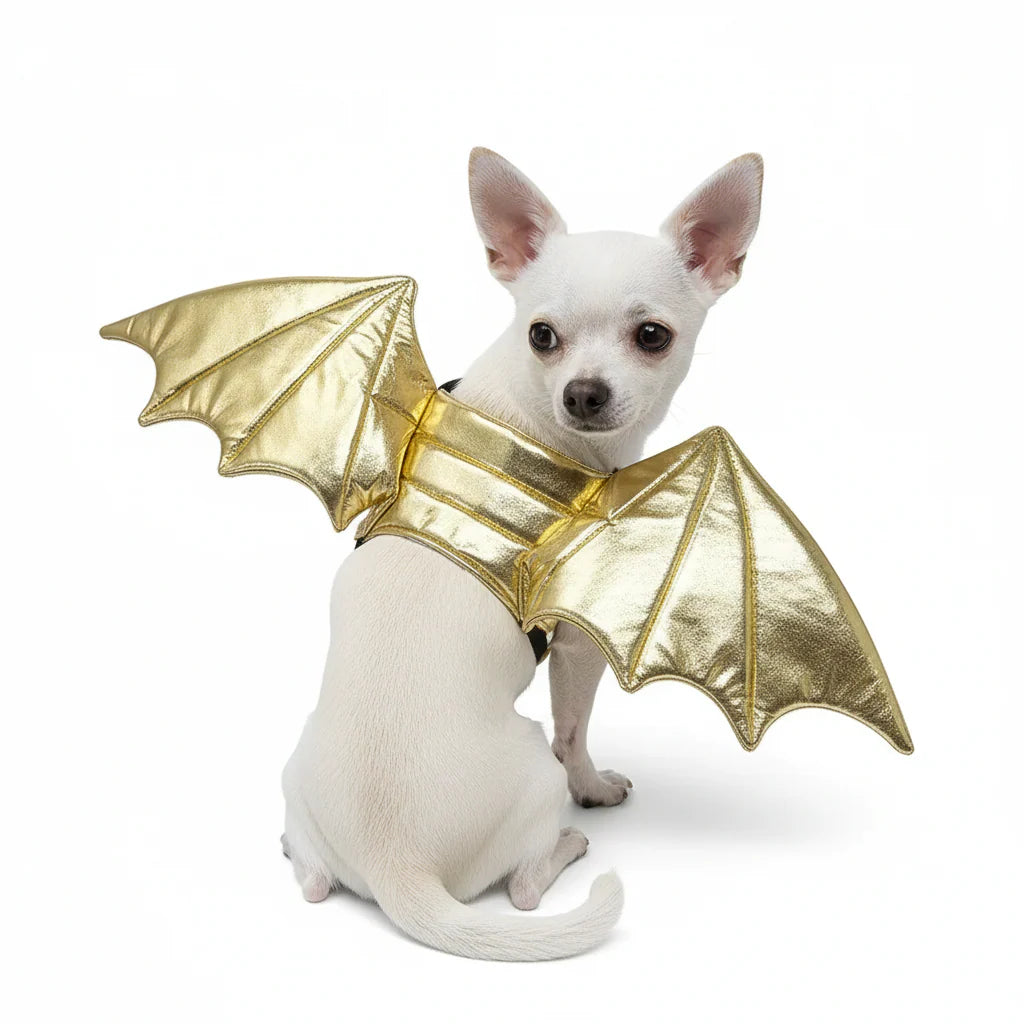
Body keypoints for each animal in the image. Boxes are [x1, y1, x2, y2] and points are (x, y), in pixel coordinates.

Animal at [281, 147, 763, 960]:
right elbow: (577, 732)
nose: (584, 393)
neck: (534, 427)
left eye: (652, 336)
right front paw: (594, 787)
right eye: (542, 336)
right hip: (531, 767)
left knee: (311, 880)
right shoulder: (578, 648)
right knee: (527, 888)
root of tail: (395, 866)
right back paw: (567, 845)